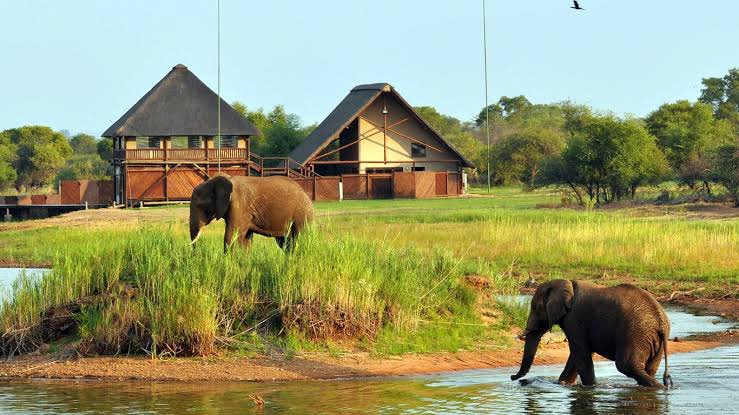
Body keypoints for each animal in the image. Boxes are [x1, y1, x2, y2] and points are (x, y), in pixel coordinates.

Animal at [512, 280, 672, 390]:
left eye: (536, 308)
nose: (513, 377)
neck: (566, 283)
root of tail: (661, 322)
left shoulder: (574, 319)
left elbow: (581, 355)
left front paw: (589, 388)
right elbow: (577, 357)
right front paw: (562, 384)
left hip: (635, 334)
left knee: (626, 365)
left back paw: (660, 388)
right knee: (649, 368)